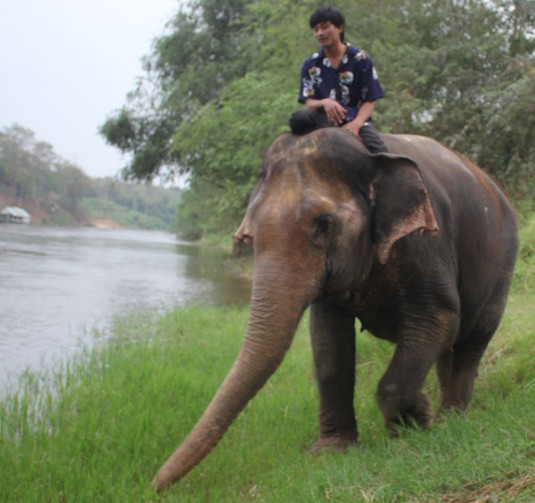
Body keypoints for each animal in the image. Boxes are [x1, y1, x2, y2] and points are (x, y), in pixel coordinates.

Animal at [152, 128, 520, 490]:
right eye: (252, 228)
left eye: (324, 223)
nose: (154, 484)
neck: (366, 153)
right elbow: (328, 339)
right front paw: (332, 451)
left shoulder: (425, 243)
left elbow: (438, 319)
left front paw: (416, 421)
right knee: (450, 347)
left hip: (502, 266)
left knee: (473, 338)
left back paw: (450, 419)